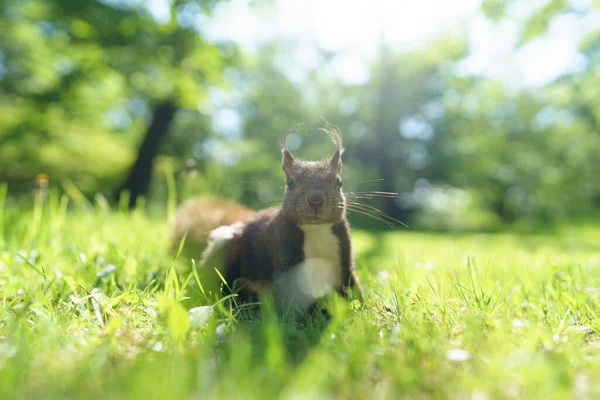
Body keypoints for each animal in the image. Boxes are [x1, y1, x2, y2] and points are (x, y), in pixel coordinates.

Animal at [171, 128, 364, 310]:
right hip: (224, 248)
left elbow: (351, 286)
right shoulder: (285, 251)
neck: (316, 229)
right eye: (290, 183)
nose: (316, 200)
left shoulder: (342, 254)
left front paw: (362, 308)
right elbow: (298, 293)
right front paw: (319, 314)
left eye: (338, 183)